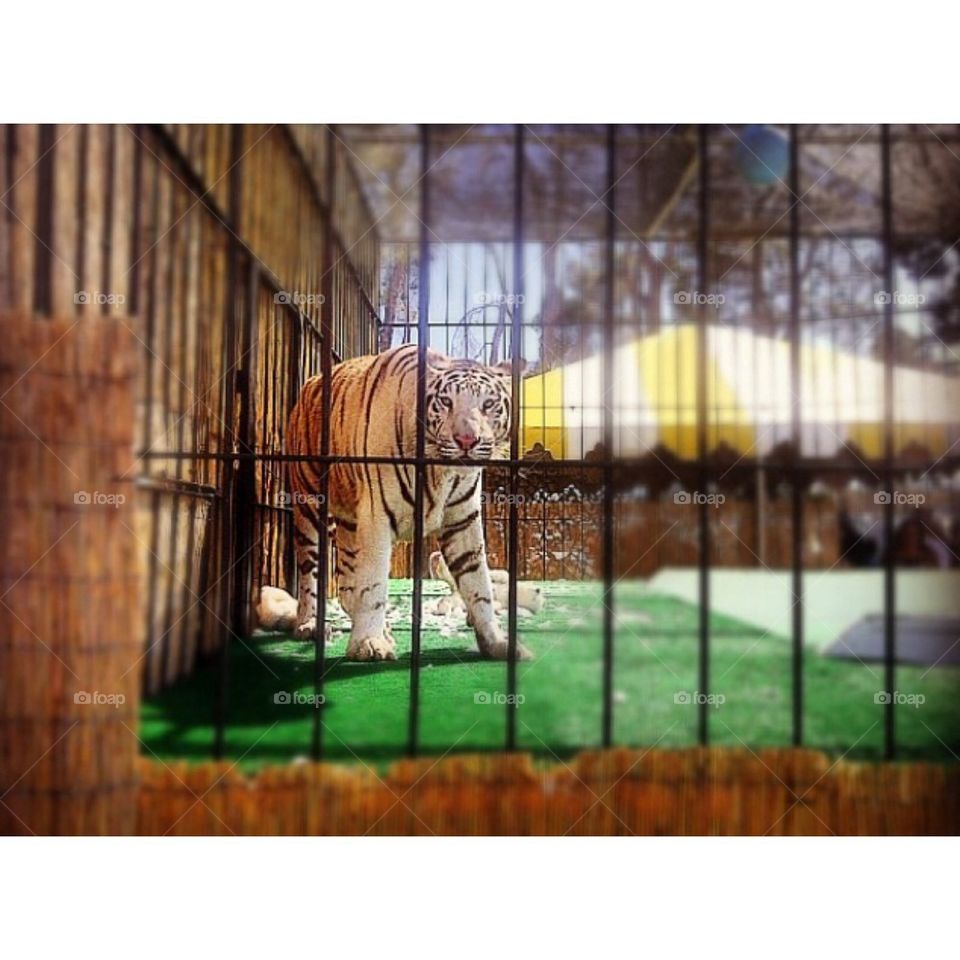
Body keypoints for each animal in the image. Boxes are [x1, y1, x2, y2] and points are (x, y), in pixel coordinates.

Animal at [285, 343, 532, 662]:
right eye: (446, 402)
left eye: (488, 404)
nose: (466, 440)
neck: (441, 473)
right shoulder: (376, 519)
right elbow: (374, 584)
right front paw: (368, 644)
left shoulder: (462, 521)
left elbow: (479, 585)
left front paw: (497, 642)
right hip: (310, 505)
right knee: (310, 574)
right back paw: (310, 625)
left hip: (349, 523)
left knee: (346, 585)